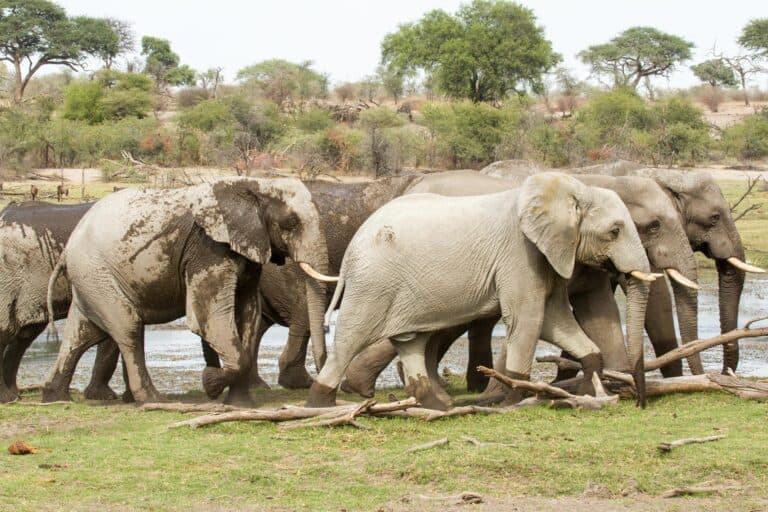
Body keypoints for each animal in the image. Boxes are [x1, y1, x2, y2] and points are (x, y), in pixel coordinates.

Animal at [42, 177, 335, 404]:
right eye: (290, 223)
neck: (253, 184)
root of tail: (68, 248)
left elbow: (248, 315)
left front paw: (238, 403)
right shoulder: (208, 250)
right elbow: (208, 320)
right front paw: (210, 383)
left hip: (90, 278)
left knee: (82, 333)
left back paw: (54, 397)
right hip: (96, 272)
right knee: (129, 328)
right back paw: (152, 401)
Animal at [307, 172, 654, 410]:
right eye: (615, 231)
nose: (639, 402)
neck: (572, 188)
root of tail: (354, 244)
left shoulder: (548, 256)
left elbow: (554, 319)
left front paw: (592, 383)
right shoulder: (519, 255)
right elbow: (528, 320)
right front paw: (514, 400)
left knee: (410, 342)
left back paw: (438, 406)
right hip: (373, 283)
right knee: (350, 338)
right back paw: (320, 405)